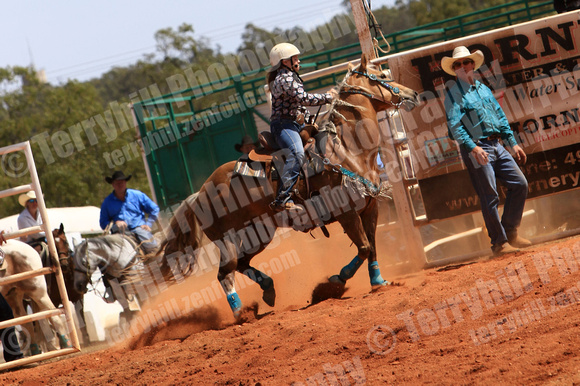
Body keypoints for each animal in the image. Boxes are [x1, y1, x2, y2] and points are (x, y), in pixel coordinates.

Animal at [147, 56, 416, 316]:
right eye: (381, 76)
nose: (412, 94)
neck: (347, 149)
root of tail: (200, 192)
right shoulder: (347, 213)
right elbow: (363, 248)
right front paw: (335, 281)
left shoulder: (370, 209)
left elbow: (372, 247)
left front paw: (378, 281)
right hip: (227, 239)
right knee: (226, 271)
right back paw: (240, 312)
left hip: (259, 232)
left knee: (242, 264)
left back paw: (268, 290)